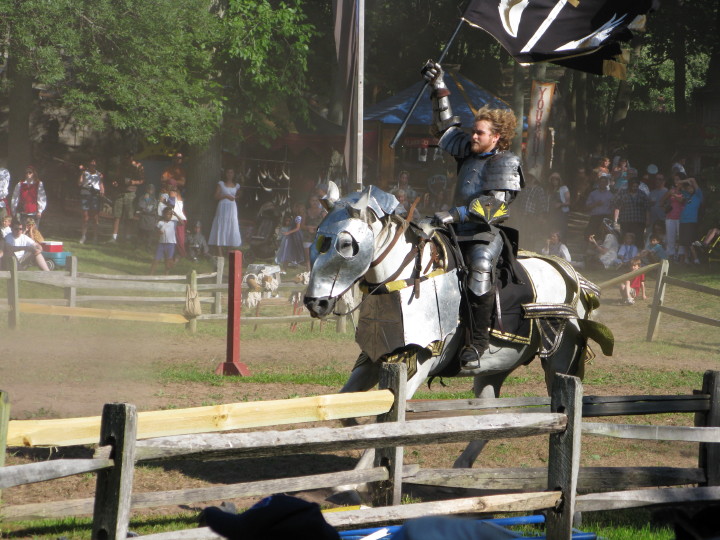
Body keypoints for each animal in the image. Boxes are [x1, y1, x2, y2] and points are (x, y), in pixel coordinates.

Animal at [304, 189, 612, 468]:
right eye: (317, 241)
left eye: (346, 244)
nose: (315, 303)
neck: (406, 280)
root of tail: (571, 273)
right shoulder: (373, 359)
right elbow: (347, 406)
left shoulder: (418, 363)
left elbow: (390, 422)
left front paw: (353, 485)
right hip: (494, 368)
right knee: (490, 419)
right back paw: (462, 464)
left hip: (559, 357)